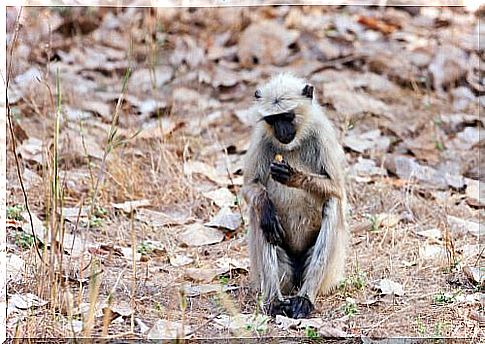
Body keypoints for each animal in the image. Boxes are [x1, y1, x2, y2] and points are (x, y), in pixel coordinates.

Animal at [242, 72, 348, 320]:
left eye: (287, 117)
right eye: (273, 120)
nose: (282, 131)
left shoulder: (322, 134)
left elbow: (337, 189)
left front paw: (294, 176)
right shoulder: (261, 136)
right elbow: (250, 188)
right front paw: (266, 207)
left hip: (329, 272)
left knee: (331, 204)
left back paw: (304, 298)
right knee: (261, 218)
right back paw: (274, 301)